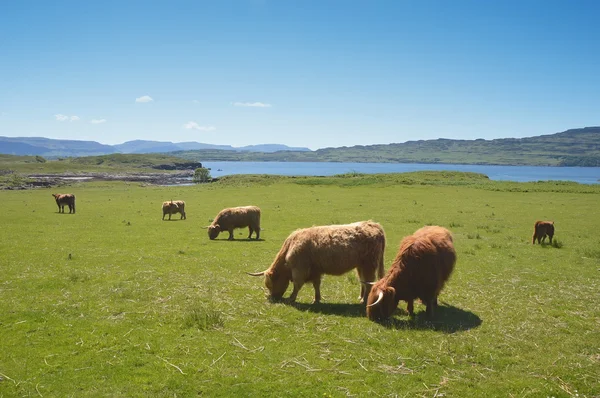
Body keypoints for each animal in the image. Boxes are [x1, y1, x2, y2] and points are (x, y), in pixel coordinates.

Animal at [247, 221, 384, 304]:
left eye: (269, 285)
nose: (273, 298)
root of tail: (373, 224)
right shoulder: (315, 271)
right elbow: (316, 285)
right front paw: (316, 299)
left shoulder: (299, 270)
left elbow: (297, 285)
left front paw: (292, 298)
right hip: (360, 266)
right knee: (363, 281)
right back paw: (361, 297)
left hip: (369, 265)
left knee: (369, 282)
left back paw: (364, 300)